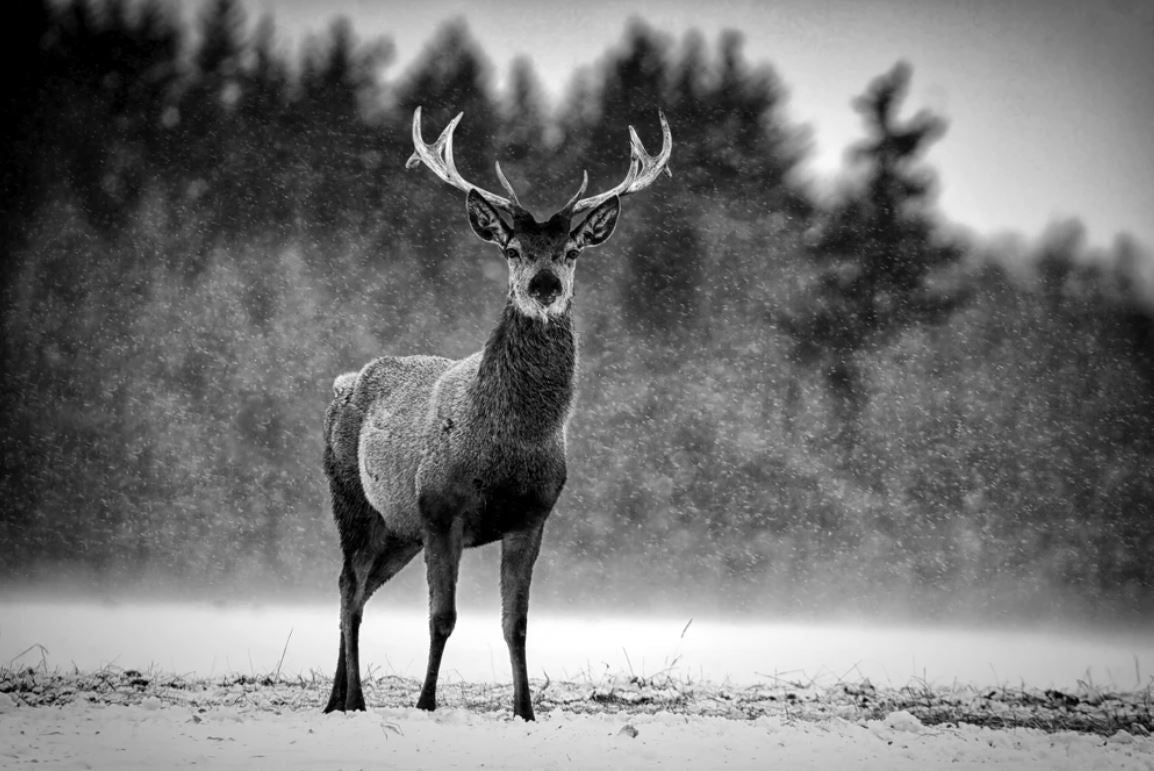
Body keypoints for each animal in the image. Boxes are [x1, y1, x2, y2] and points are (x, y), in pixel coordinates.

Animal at [322, 107, 671, 720]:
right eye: (512, 250)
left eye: (571, 252)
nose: (544, 285)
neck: (509, 442)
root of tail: (340, 384)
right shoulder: (440, 507)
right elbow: (442, 618)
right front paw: (426, 704)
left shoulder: (532, 516)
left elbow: (518, 624)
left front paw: (525, 711)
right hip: (354, 501)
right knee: (347, 588)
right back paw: (353, 701)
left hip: (398, 528)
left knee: (359, 589)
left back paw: (337, 700)